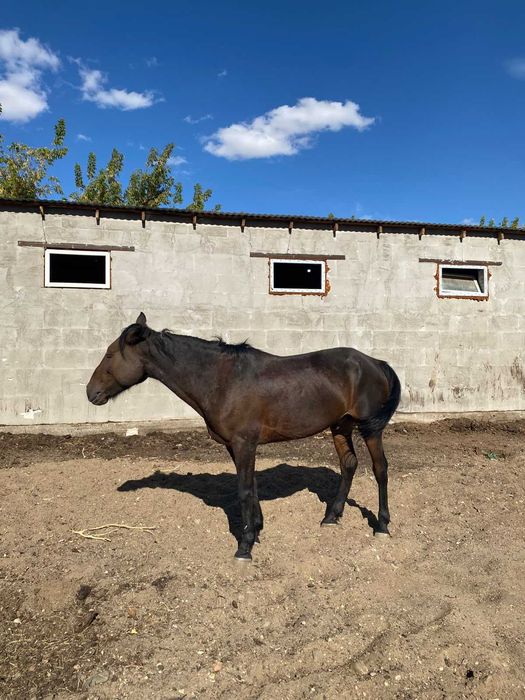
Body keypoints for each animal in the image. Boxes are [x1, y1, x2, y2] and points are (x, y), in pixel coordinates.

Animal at [87, 313, 401, 562]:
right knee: (348, 465)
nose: (91, 392)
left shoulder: (244, 444)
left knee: (380, 469)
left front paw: (245, 546)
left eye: (110, 355)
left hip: (371, 429)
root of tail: (374, 362)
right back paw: (331, 517)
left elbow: (244, 490)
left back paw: (382, 526)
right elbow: (251, 486)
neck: (222, 380)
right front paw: (257, 529)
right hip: (340, 426)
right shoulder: (236, 446)